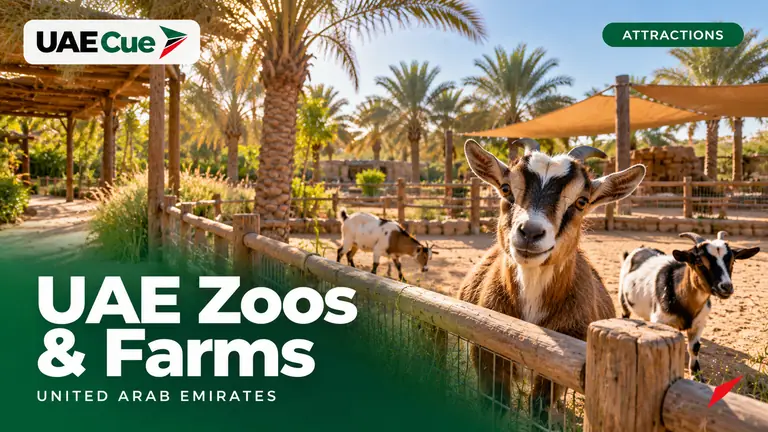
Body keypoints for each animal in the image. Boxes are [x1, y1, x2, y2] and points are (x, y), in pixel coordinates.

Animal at [458, 138, 645, 416]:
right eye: (506, 189)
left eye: (581, 202)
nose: (530, 232)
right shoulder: (487, 357)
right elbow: (496, 405)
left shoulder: (558, 372)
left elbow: (540, 409)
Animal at [619, 231, 760, 375]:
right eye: (699, 261)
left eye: (733, 260)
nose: (726, 287)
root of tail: (641, 248)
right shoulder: (660, 320)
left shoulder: (699, 323)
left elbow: (695, 348)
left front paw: (696, 375)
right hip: (623, 296)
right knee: (625, 313)